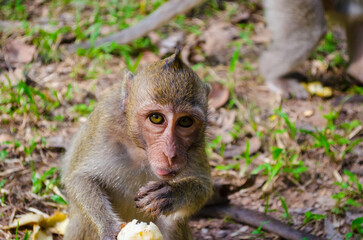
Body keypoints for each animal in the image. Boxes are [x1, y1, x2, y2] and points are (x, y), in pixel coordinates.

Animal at [62, 51, 213, 240]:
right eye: (156, 118)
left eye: (185, 121)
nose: (170, 154)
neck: (141, 150)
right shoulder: (105, 119)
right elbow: (79, 178)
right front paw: (109, 227)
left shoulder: (196, 145)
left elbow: (204, 186)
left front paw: (171, 193)